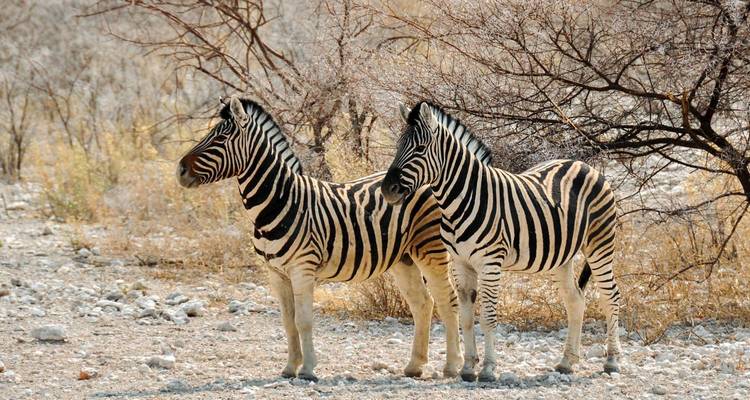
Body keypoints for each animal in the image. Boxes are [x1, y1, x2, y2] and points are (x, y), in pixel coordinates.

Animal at [176, 95, 461, 381]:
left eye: (220, 138)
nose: (179, 170)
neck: (279, 201)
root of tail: (433, 179)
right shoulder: (276, 273)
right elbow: (287, 322)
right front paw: (290, 368)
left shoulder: (302, 268)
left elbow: (303, 321)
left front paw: (308, 369)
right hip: (403, 258)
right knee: (422, 303)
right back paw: (415, 366)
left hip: (430, 249)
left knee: (447, 300)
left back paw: (452, 366)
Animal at [381, 101, 622, 382]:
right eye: (398, 146)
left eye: (420, 148)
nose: (387, 190)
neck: (462, 200)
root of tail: (581, 164)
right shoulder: (461, 264)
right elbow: (466, 317)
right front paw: (467, 368)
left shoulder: (490, 262)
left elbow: (487, 316)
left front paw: (487, 369)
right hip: (561, 256)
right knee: (575, 300)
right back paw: (567, 362)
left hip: (600, 243)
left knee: (610, 296)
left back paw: (612, 360)